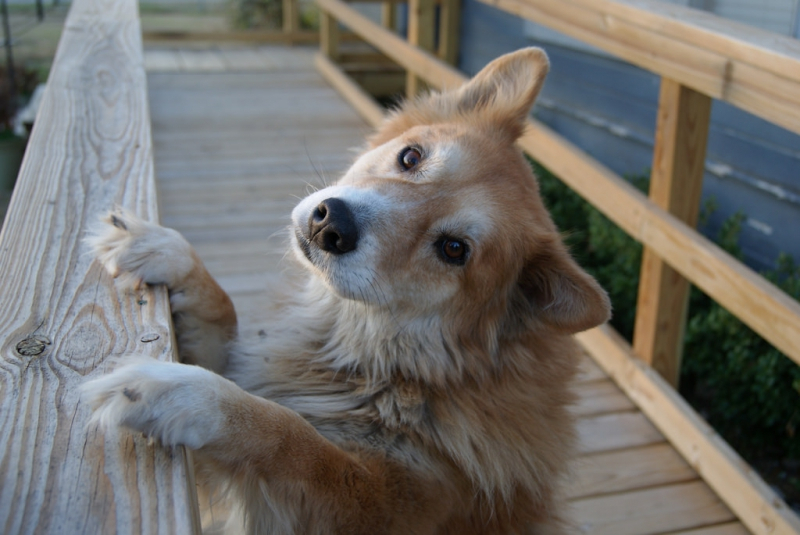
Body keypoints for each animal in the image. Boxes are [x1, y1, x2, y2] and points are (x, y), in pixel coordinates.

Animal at [81, 48, 608, 532]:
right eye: (410, 156)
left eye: (454, 249)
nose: (330, 224)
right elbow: (225, 318)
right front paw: (164, 251)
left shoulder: (388, 502)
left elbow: (298, 440)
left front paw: (188, 396)